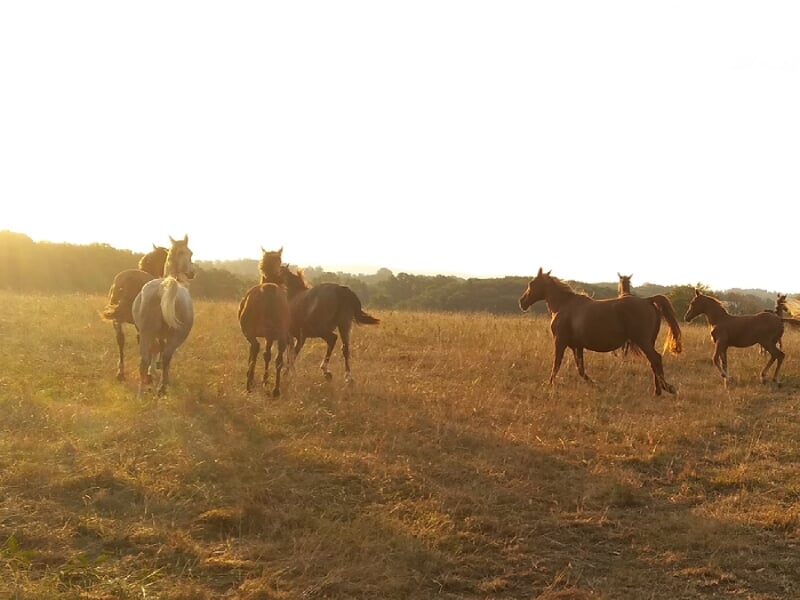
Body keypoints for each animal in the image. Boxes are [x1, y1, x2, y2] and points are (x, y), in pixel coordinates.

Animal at [101, 244, 168, 380]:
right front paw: (152, 370)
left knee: (121, 340)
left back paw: (121, 372)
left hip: (118, 320)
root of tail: (128, 279)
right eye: (166, 256)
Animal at [132, 235, 195, 397]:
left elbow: (155, 350)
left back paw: (140, 393)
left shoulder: (156, 335)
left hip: (146, 333)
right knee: (167, 356)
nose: (193, 272)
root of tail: (164, 288)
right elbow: (162, 354)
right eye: (190, 253)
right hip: (178, 335)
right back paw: (162, 387)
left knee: (144, 360)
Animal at [518, 268, 682, 395]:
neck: (563, 305)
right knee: (653, 362)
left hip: (643, 342)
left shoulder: (560, 342)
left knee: (656, 359)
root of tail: (647, 300)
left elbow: (556, 365)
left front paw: (549, 384)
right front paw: (595, 384)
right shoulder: (577, 346)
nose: (522, 302)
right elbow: (580, 369)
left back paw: (663, 389)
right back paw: (660, 389)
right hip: (648, 342)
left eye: (532, 283)